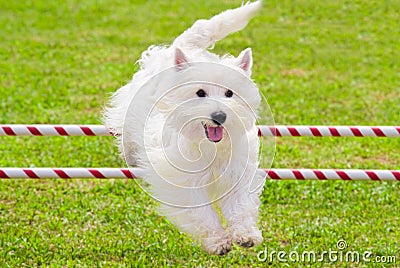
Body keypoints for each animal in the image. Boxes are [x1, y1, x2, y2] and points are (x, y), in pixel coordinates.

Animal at [103, 1, 266, 254]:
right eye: (200, 92)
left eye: (230, 93)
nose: (219, 116)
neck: (208, 147)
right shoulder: (183, 181)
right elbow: (202, 213)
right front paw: (218, 241)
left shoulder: (237, 173)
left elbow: (240, 205)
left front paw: (246, 235)